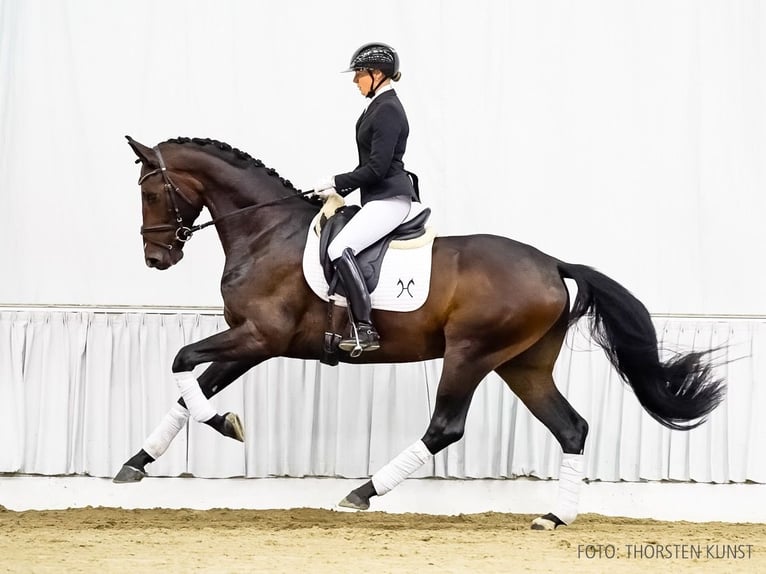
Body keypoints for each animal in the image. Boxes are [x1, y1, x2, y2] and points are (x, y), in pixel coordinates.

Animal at [115, 136, 728, 532]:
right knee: (571, 427)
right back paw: (555, 516)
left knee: (446, 427)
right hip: (523, 364)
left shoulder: (259, 338)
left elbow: (181, 362)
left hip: (471, 354)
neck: (268, 233)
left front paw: (224, 423)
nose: (156, 258)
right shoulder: (251, 341)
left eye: (149, 193)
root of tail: (553, 264)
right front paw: (136, 462)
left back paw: (362, 492)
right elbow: (188, 388)